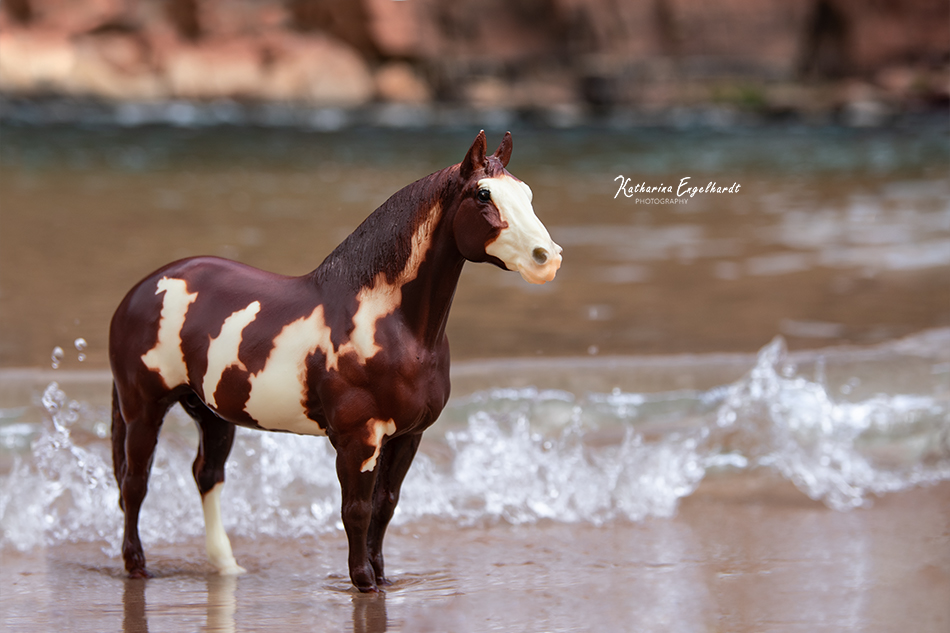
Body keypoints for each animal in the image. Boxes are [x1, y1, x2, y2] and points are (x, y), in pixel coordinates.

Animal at [109, 131, 560, 592]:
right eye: (483, 194)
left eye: (526, 193)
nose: (548, 257)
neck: (393, 328)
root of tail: (142, 291)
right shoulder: (358, 437)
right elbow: (355, 510)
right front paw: (362, 580)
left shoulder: (407, 436)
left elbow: (385, 506)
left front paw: (382, 577)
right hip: (144, 408)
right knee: (135, 483)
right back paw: (137, 564)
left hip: (210, 412)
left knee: (206, 476)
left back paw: (226, 566)